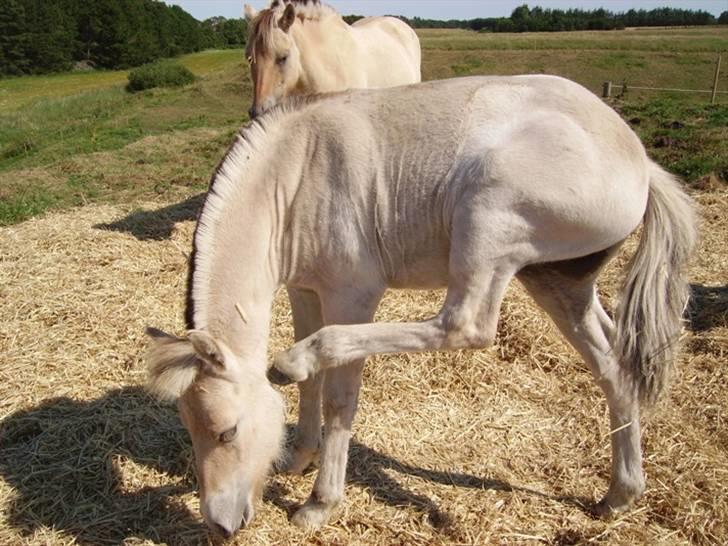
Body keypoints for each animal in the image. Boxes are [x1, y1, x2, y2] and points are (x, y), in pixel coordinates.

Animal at [145, 74, 696, 532]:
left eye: (228, 432)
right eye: (191, 428)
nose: (220, 525)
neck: (296, 171)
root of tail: (642, 164)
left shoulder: (351, 295)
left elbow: (339, 394)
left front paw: (320, 502)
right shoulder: (304, 290)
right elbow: (311, 388)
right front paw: (299, 456)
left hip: (489, 215)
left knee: (465, 325)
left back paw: (296, 360)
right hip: (558, 282)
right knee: (615, 366)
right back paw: (619, 495)